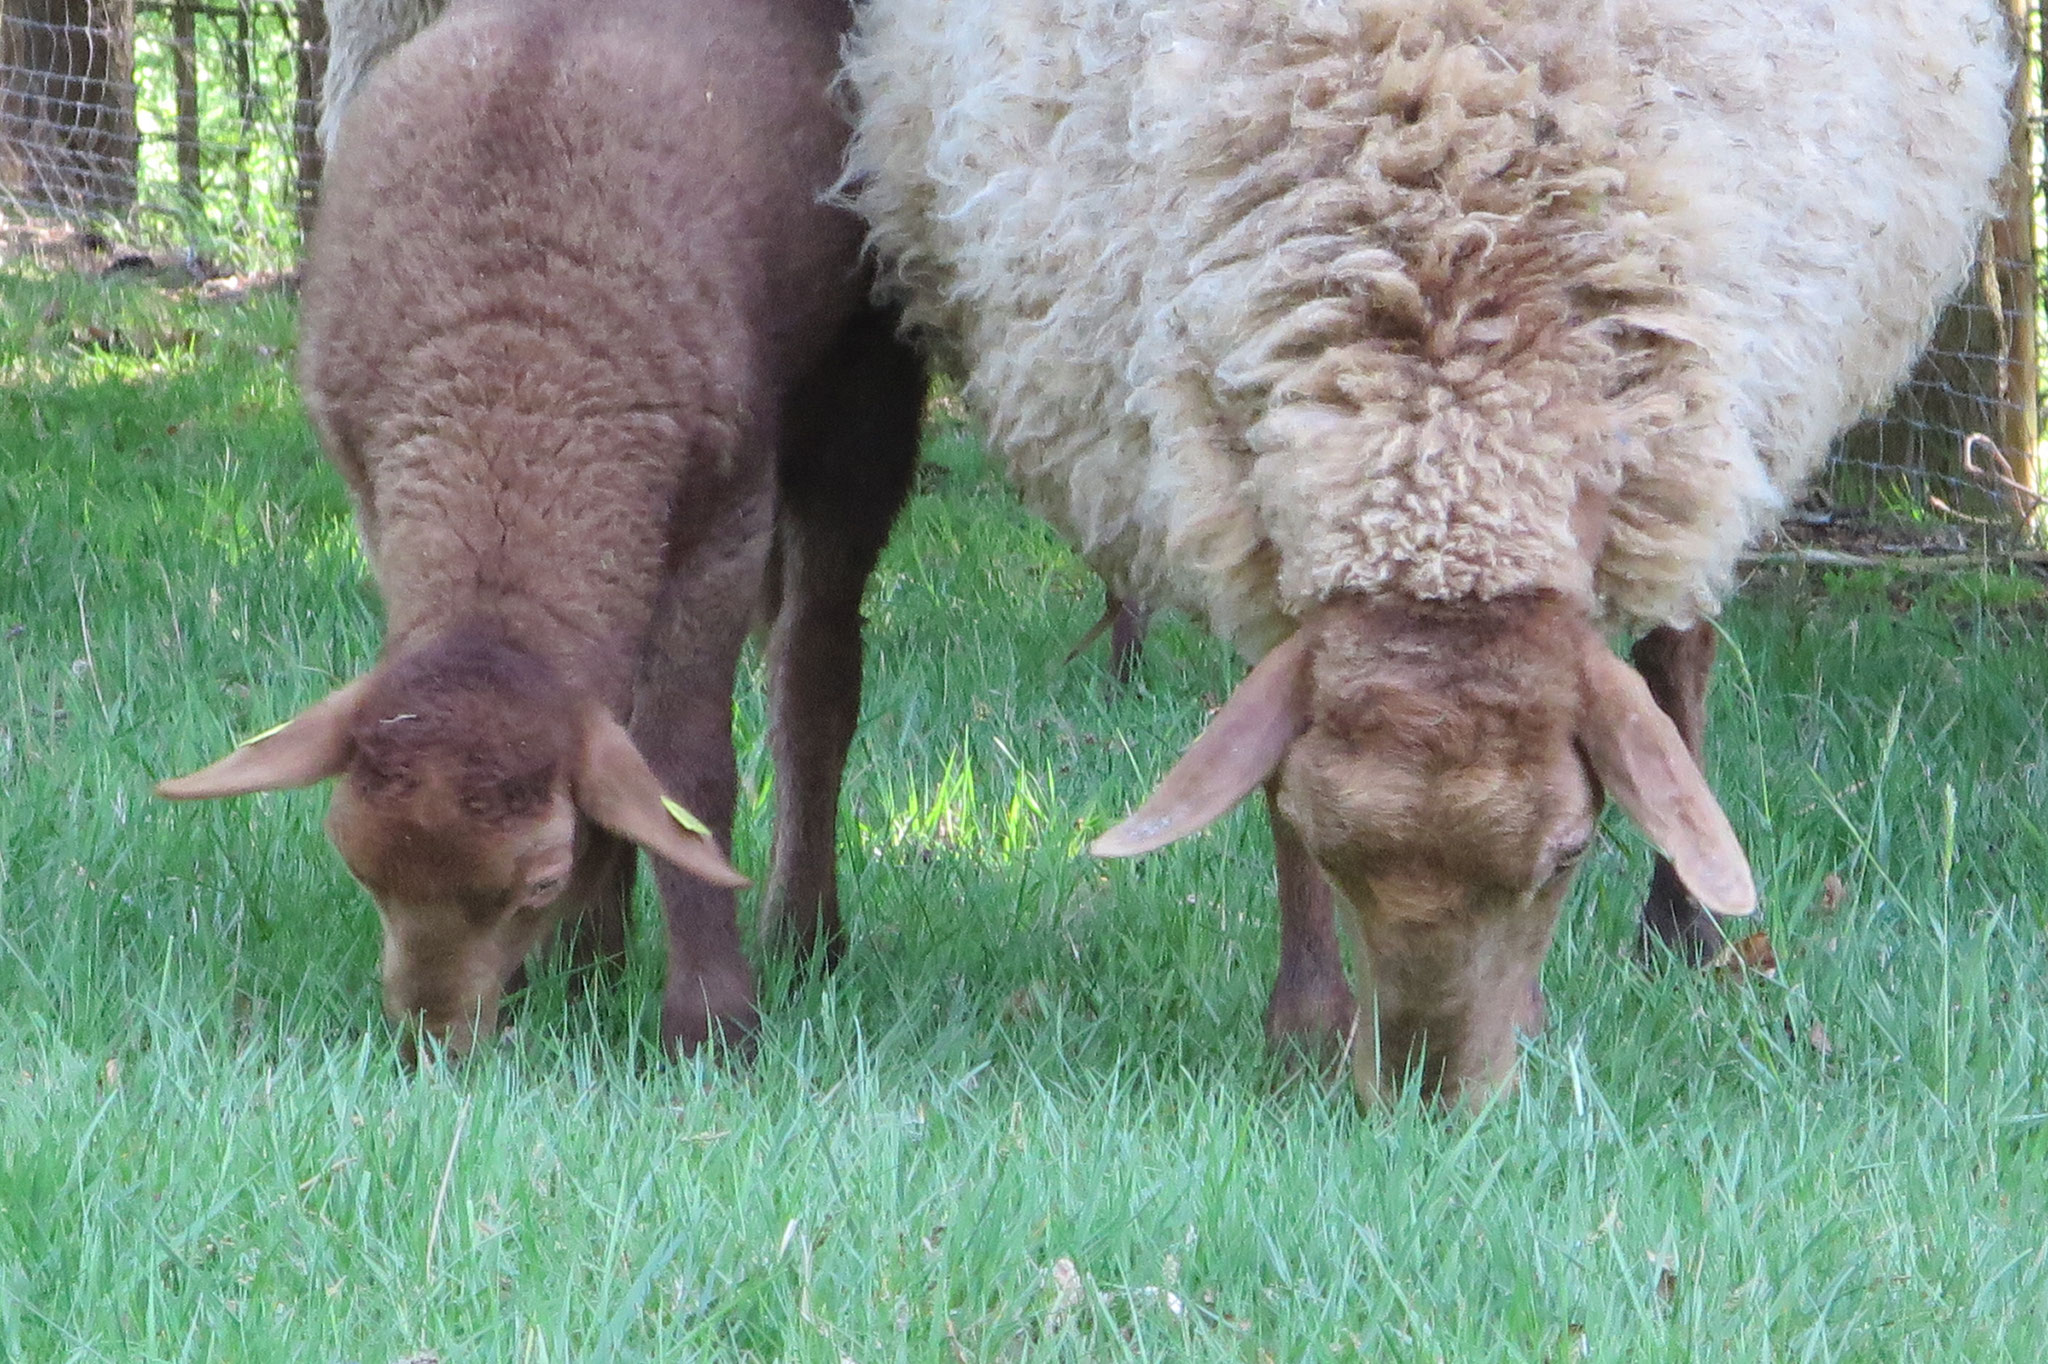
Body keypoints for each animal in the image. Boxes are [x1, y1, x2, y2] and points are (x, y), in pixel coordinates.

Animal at [155, 0, 925, 1048]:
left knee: (814, 673)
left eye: (538, 879)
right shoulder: (375, 493)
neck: (513, 372)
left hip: (864, 383)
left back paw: (805, 937)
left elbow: (687, 770)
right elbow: (623, 745)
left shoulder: (726, 514)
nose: (432, 1042)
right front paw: (581, 971)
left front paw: (710, 1018)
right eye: (356, 866)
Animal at [847, 0, 2015, 1097]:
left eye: (1569, 852)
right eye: (1328, 841)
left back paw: (1680, 933)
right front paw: (1307, 1028)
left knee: (1678, 652)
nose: (1426, 1094)